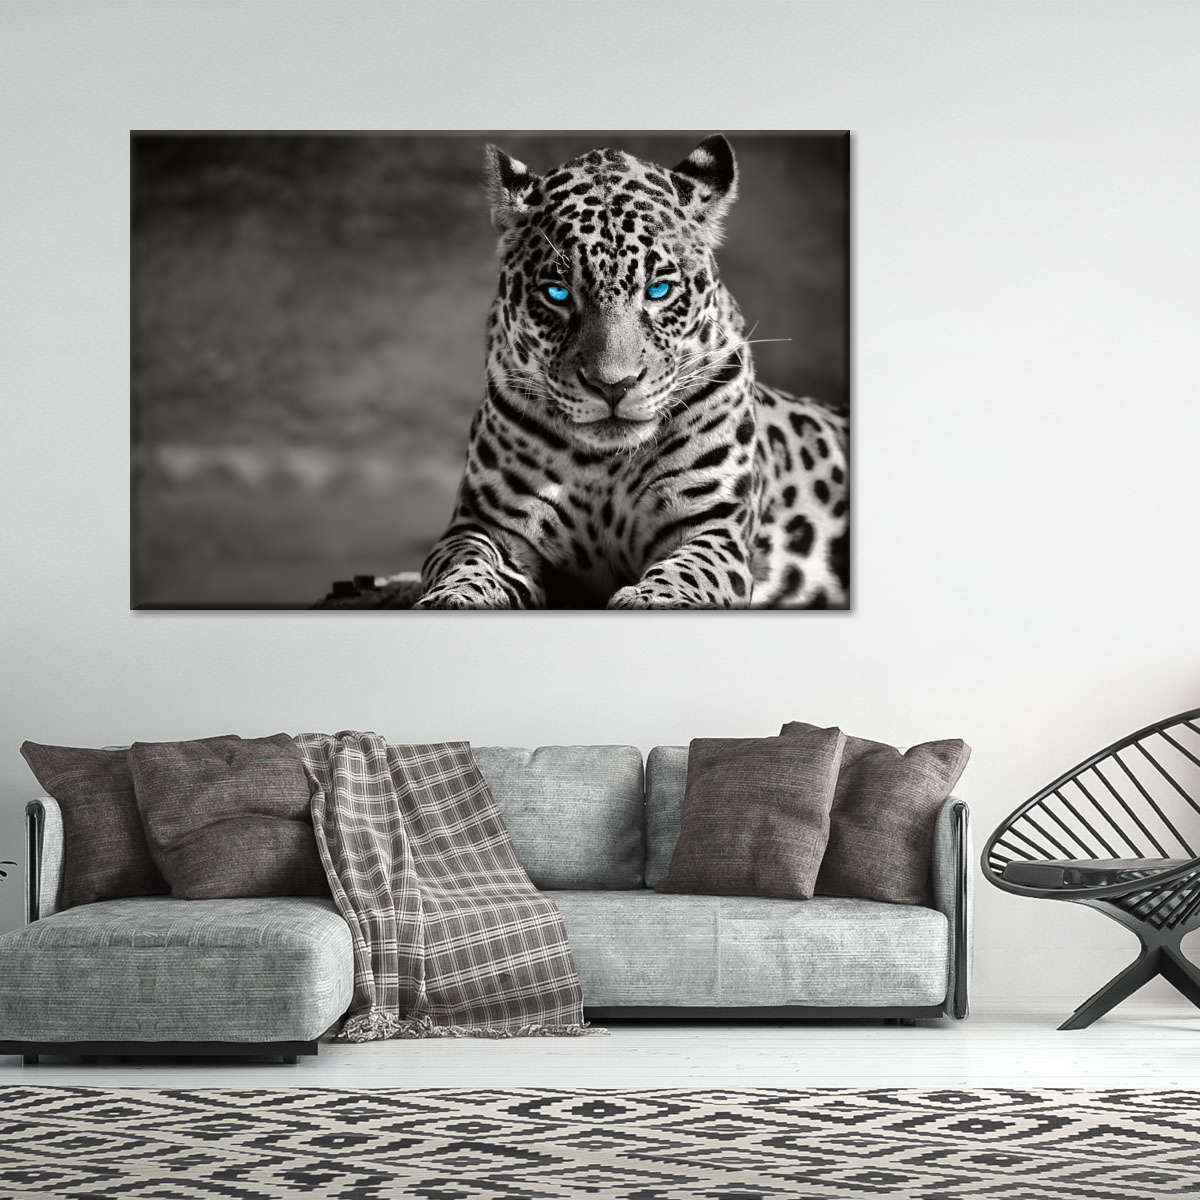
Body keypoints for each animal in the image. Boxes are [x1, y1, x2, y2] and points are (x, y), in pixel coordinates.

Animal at [411, 134, 849, 609]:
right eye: (557, 293)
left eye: (658, 290)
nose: (612, 386)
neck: (605, 465)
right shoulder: (486, 523)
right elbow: (466, 562)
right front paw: (454, 597)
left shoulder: (712, 525)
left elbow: (688, 571)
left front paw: (653, 598)